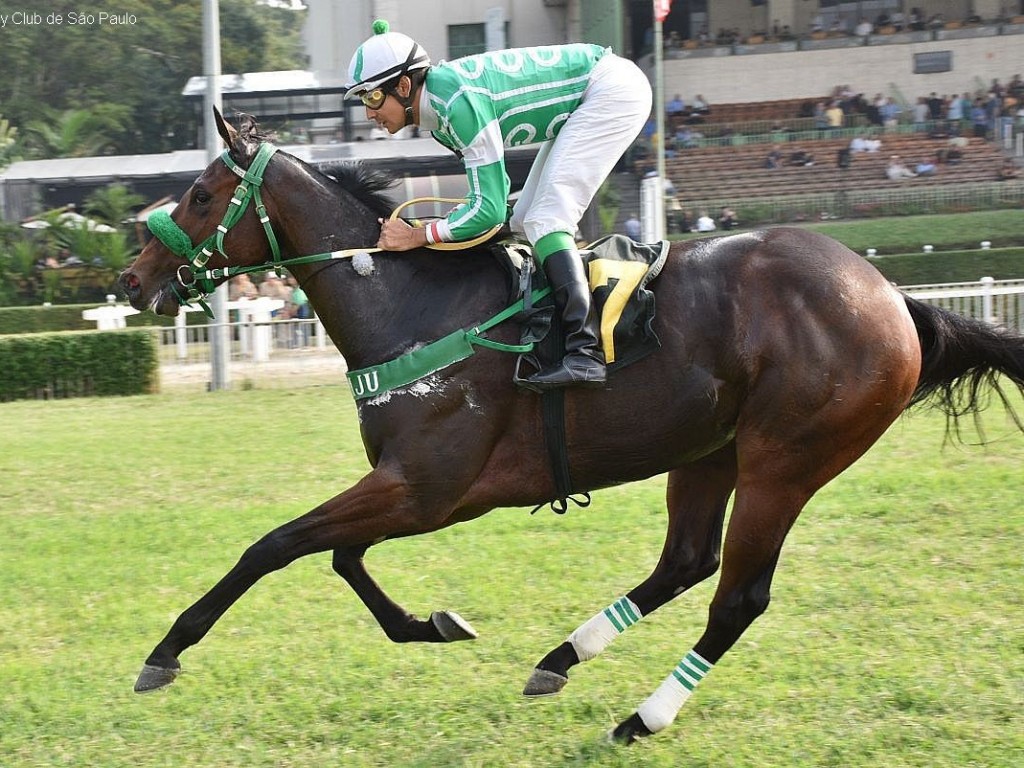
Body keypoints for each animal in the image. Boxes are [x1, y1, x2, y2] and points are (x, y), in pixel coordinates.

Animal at [116, 111, 1024, 741]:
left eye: (200, 195)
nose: (131, 278)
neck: (412, 305)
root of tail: (893, 297)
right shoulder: (415, 488)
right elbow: (339, 557)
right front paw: (431, 625)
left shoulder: (428, 489)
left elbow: (274, 545)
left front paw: (165, 651)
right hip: (708, 449)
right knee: (684, 563)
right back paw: (561, 659)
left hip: (786, 461)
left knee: (736, 597)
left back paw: (642, 718)